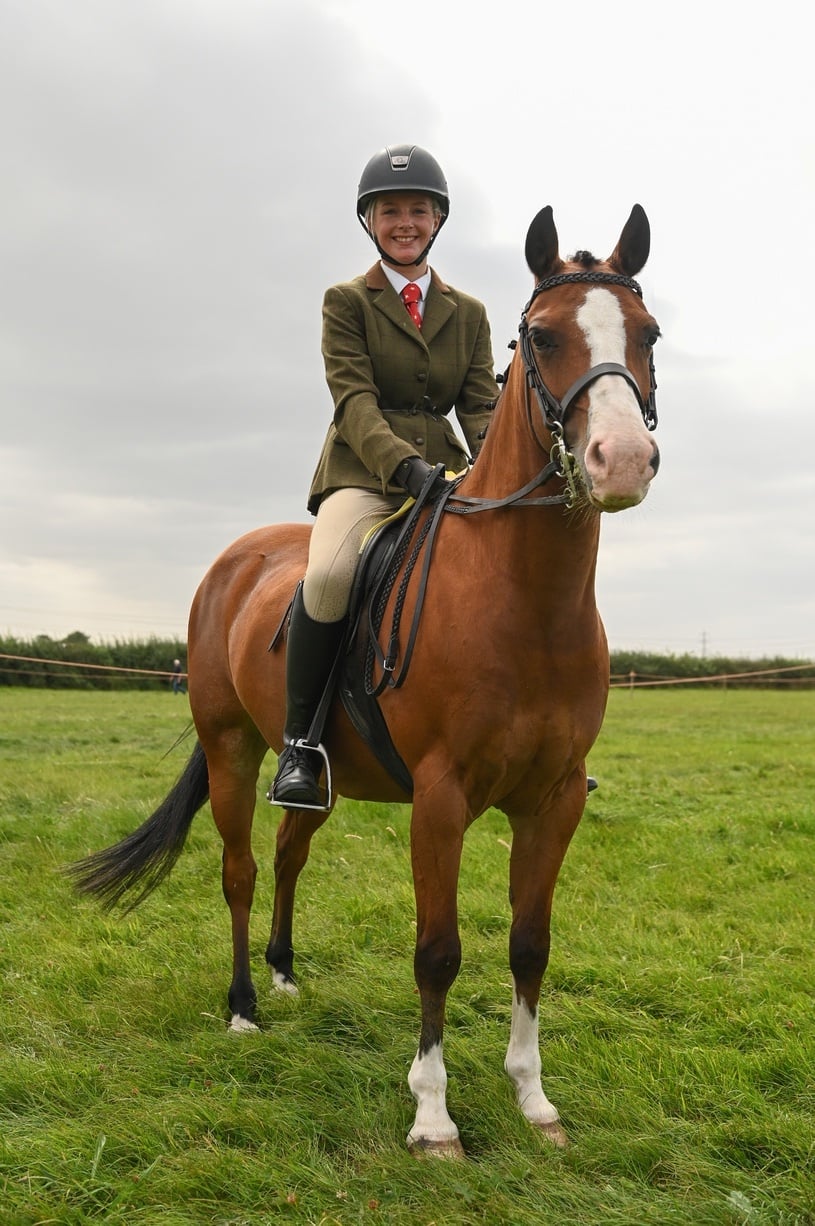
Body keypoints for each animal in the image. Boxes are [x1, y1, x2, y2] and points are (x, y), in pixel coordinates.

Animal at [69, 204, 661, 1159]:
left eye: (647, 333)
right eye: (538, 336)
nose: (620, 460)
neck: (524, 598)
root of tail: (236, 560)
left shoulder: (555, 798)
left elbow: (529, 944)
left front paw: (534, 1101)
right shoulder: (441, 799)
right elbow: (438, 950)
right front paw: (432, 1117)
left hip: (319, 773)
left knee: (287, 852)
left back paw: (282, 975)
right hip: (231, 748)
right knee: (240, 869)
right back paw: (242, 1007)